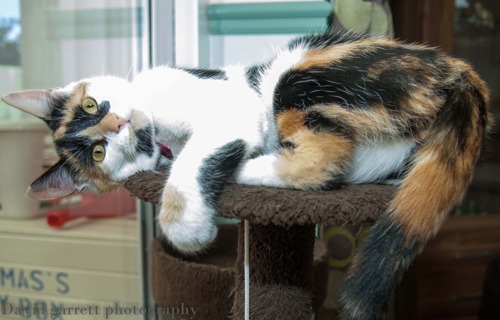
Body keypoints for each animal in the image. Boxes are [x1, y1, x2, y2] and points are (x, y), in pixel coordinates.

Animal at [0, 33, 492, 320]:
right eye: (98, 152)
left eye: (90, 104)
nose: (118, 124)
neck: (163, 136)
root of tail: (457, 71)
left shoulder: (230, 110)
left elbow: (193, 160)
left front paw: (184, 224)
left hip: (296, 75)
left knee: (321, 162)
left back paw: (249, 166)